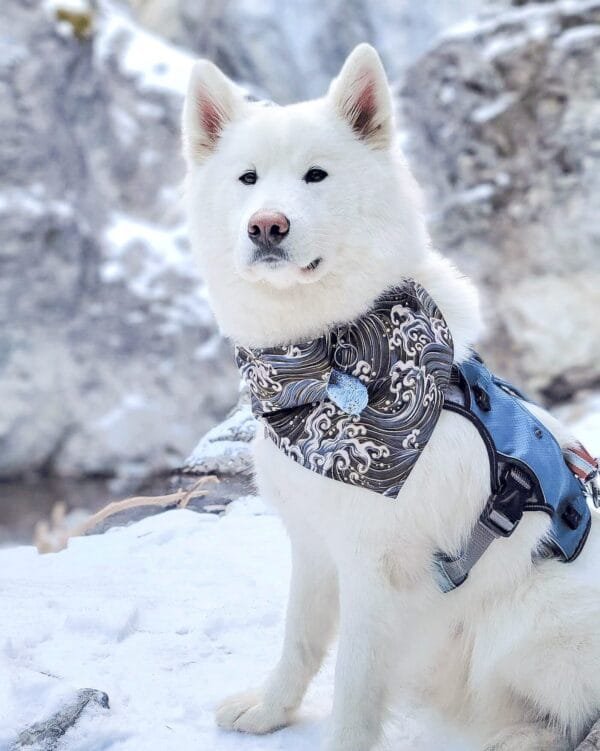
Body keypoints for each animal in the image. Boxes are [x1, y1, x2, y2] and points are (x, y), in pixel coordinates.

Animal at [182, 42, 600, 751]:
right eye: (248, 179)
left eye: (316, 175)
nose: (267, 225)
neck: (323, 358)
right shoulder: (314, 544)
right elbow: (298, 640)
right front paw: (270, 711)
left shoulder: (375, 571)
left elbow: (354, 681)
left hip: (531, 617)